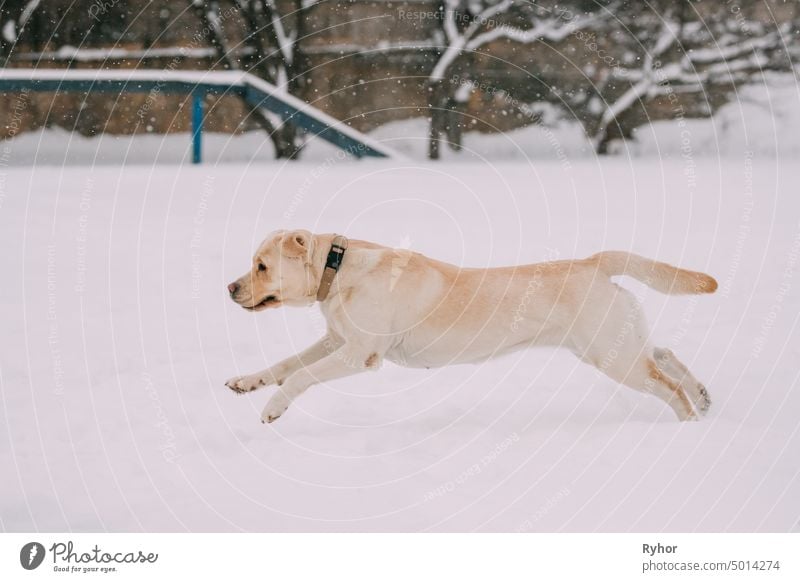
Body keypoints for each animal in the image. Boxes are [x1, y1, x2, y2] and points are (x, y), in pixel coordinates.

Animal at [227, 229, 720, 424]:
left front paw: (273, 407)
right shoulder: (335, 340)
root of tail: (594, 262)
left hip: (612, 357)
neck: (340, 270)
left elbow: (301, 377)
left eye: (262, 266)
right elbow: (285, 364)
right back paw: (703, 396)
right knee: (666, 355)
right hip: (614, 345)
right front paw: (248, 382)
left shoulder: (358, 353)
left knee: (667, 384)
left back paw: (688, 422)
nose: (229, 287)